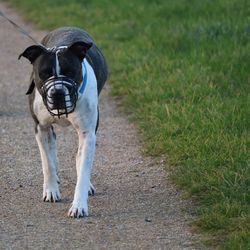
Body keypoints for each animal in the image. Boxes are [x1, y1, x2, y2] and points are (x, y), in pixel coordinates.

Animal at [19, 27, 107, 218]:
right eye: (44, 74)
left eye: (70, 72)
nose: (57, 92)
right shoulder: (41, 128)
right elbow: (47, 163)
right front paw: (51, 190)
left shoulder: (88, 133)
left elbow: (83, 168)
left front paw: (79, 205)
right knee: (52, 150)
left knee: (79, 157)